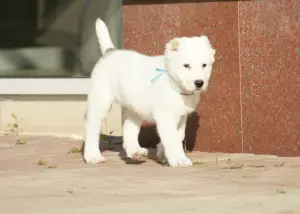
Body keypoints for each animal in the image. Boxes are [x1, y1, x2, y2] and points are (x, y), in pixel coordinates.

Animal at [84, 18, 216, 167]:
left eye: (204, 65)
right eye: (186, 65)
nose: (199, 83)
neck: (172, 83)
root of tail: (110, 52)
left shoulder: (181, 117)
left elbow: (178, 136)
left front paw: (162, 152)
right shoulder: (165, 116)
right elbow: (172, 139)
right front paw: (179, 159)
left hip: (134, 108)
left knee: (129, 128)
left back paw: (135, 152)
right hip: (101, 100)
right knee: (92, 125)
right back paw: (92, 156)